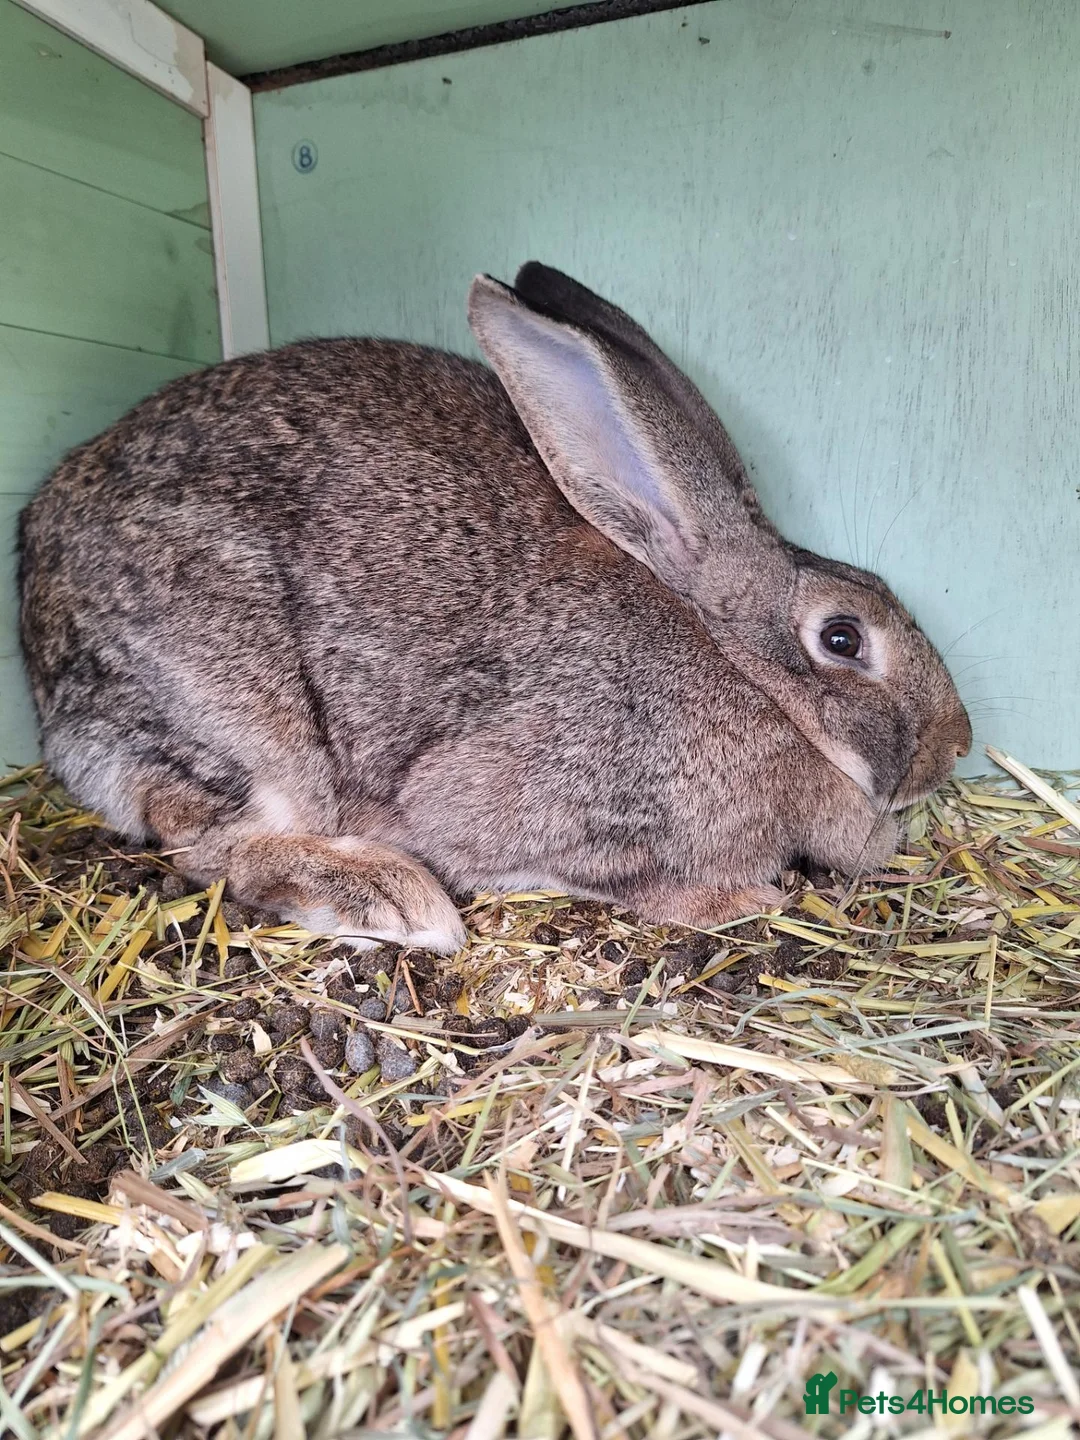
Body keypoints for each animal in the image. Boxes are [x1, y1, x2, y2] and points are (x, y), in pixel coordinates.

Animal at [18, 263, 971, 954]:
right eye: (842, 637)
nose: (959, 744)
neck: (750, 680)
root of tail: (36, 594)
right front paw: (739, 897)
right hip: (232, 705)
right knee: (209, 841)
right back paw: (391, 899)